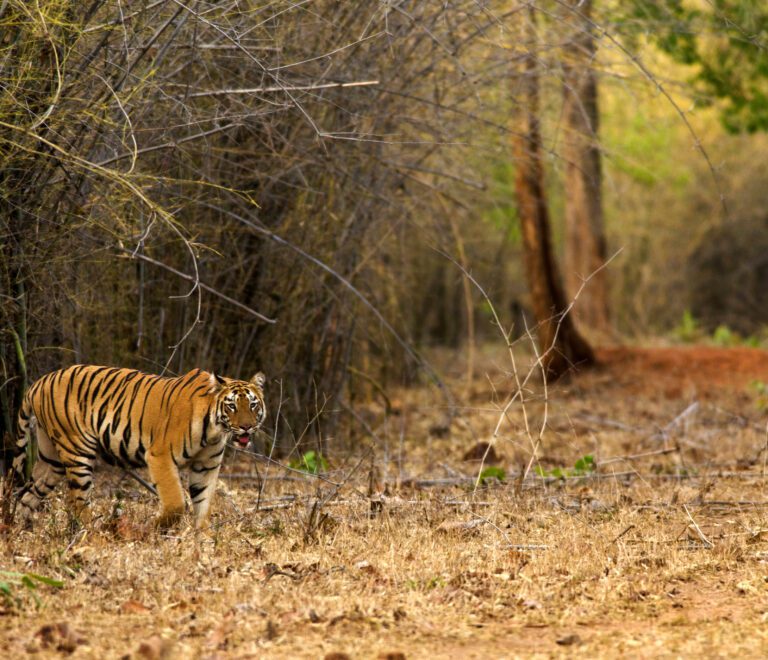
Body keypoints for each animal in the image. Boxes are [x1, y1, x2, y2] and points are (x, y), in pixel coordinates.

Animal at [13, 365, 267, 529]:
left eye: (253, 404)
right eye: (232, 406)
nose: (246, 427)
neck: (215, 430)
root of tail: (39, 382)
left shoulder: (206, 467)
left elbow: (203, 506)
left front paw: (201, 543)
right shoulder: (160, 456)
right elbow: (176, 502)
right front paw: (153, 528)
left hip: (51, 458)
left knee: (28, 493)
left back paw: (19, 530)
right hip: (77, 449)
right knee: (76, 502)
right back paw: (92, 535)